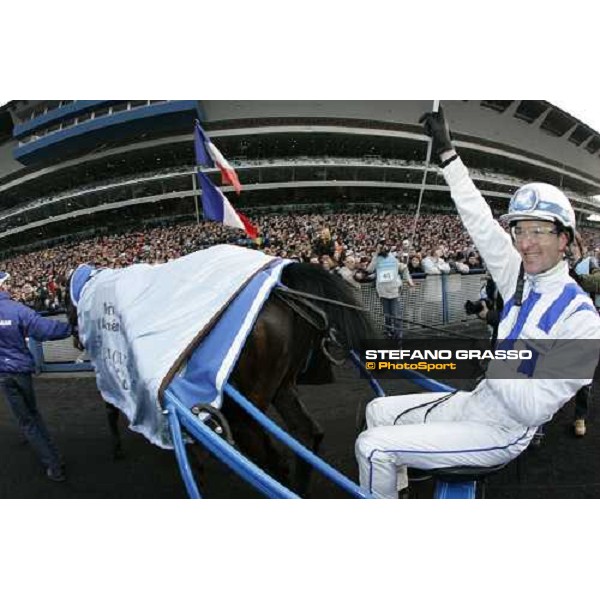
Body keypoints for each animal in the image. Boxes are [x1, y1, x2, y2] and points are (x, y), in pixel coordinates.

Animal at [67, 258, 376, 496]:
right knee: (307, 433)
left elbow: (111, 409)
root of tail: (281, 292)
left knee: (272, 460)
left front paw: (119, 448)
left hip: (242, 411)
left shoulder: (110, 373)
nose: (75, 338)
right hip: (282, 386)